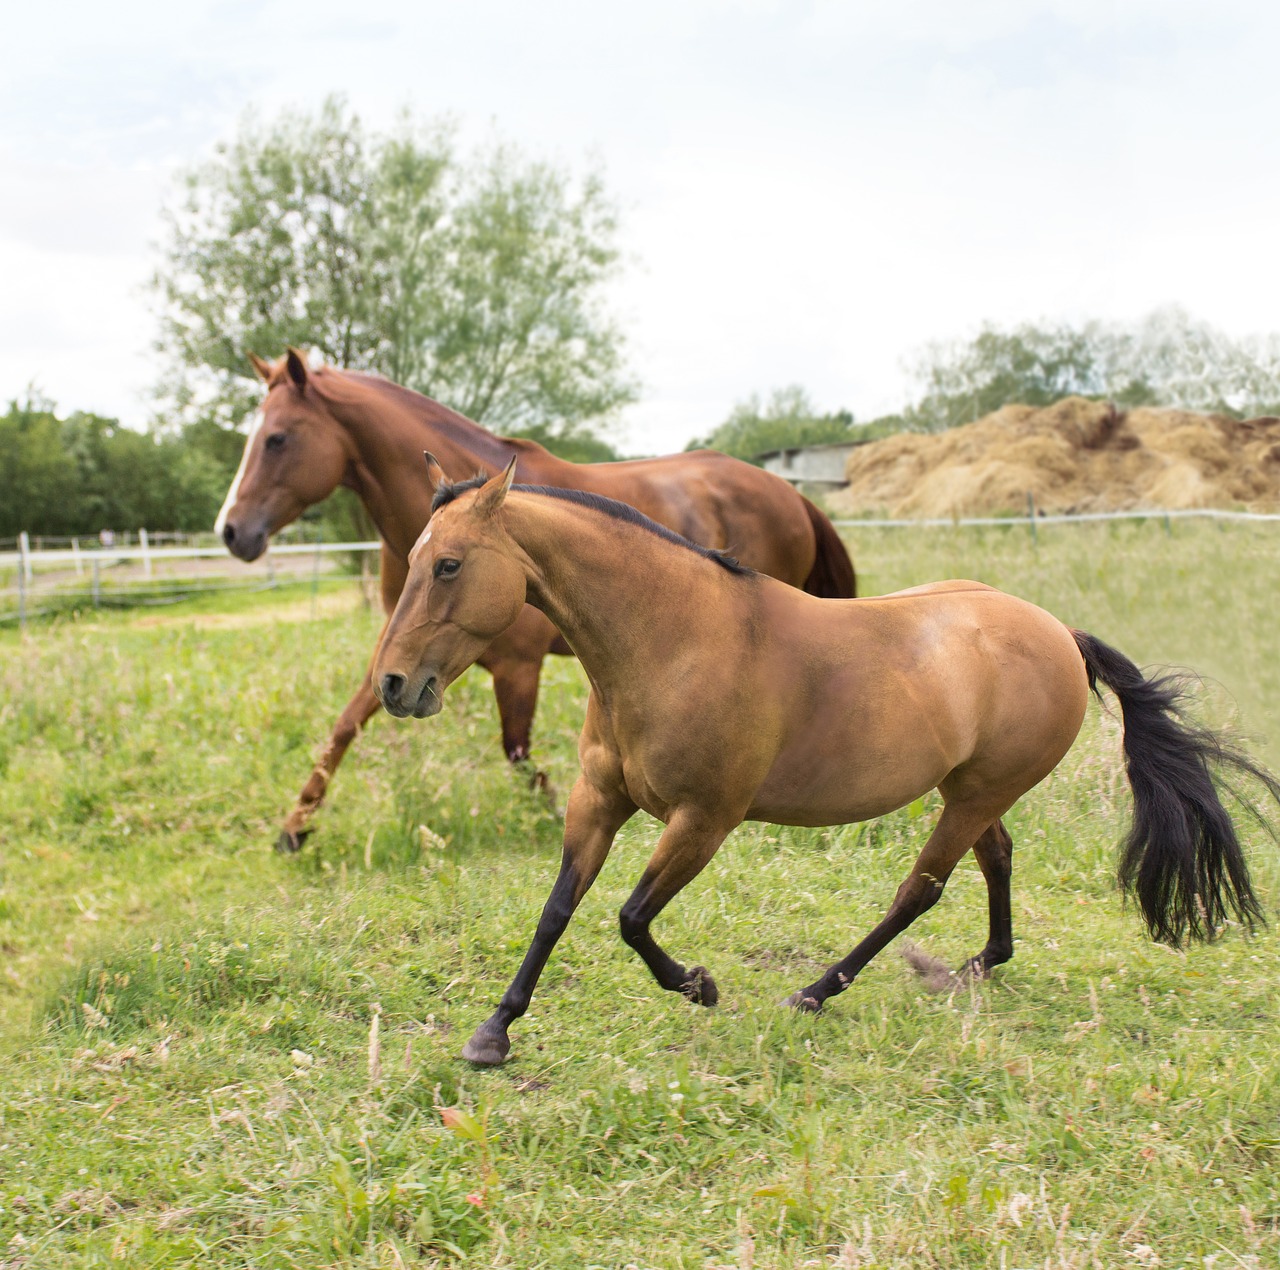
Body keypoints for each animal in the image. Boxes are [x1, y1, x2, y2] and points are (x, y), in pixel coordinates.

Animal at [215, 350, 855, 855]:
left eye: (277, 438)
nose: (231, 531)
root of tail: (791, 494)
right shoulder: (405, 654)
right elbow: (344, 727)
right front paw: (293, 828)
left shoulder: (515, 667)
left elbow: (517, 753)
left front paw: (554, 811)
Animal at [371, 460, 1269, 1065]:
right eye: (411, 561)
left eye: (448, 565)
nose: (392, 684)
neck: (673, 640)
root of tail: (1059, 631)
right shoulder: (598, 799)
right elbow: (559, 908)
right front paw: (494, 1031)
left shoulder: (705, 821)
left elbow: (629, 917)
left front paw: (699, 985)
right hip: (972, 791)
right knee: (998, 862)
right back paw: (977, 967)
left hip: (973, 795)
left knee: (920, 889)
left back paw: (816, 990)